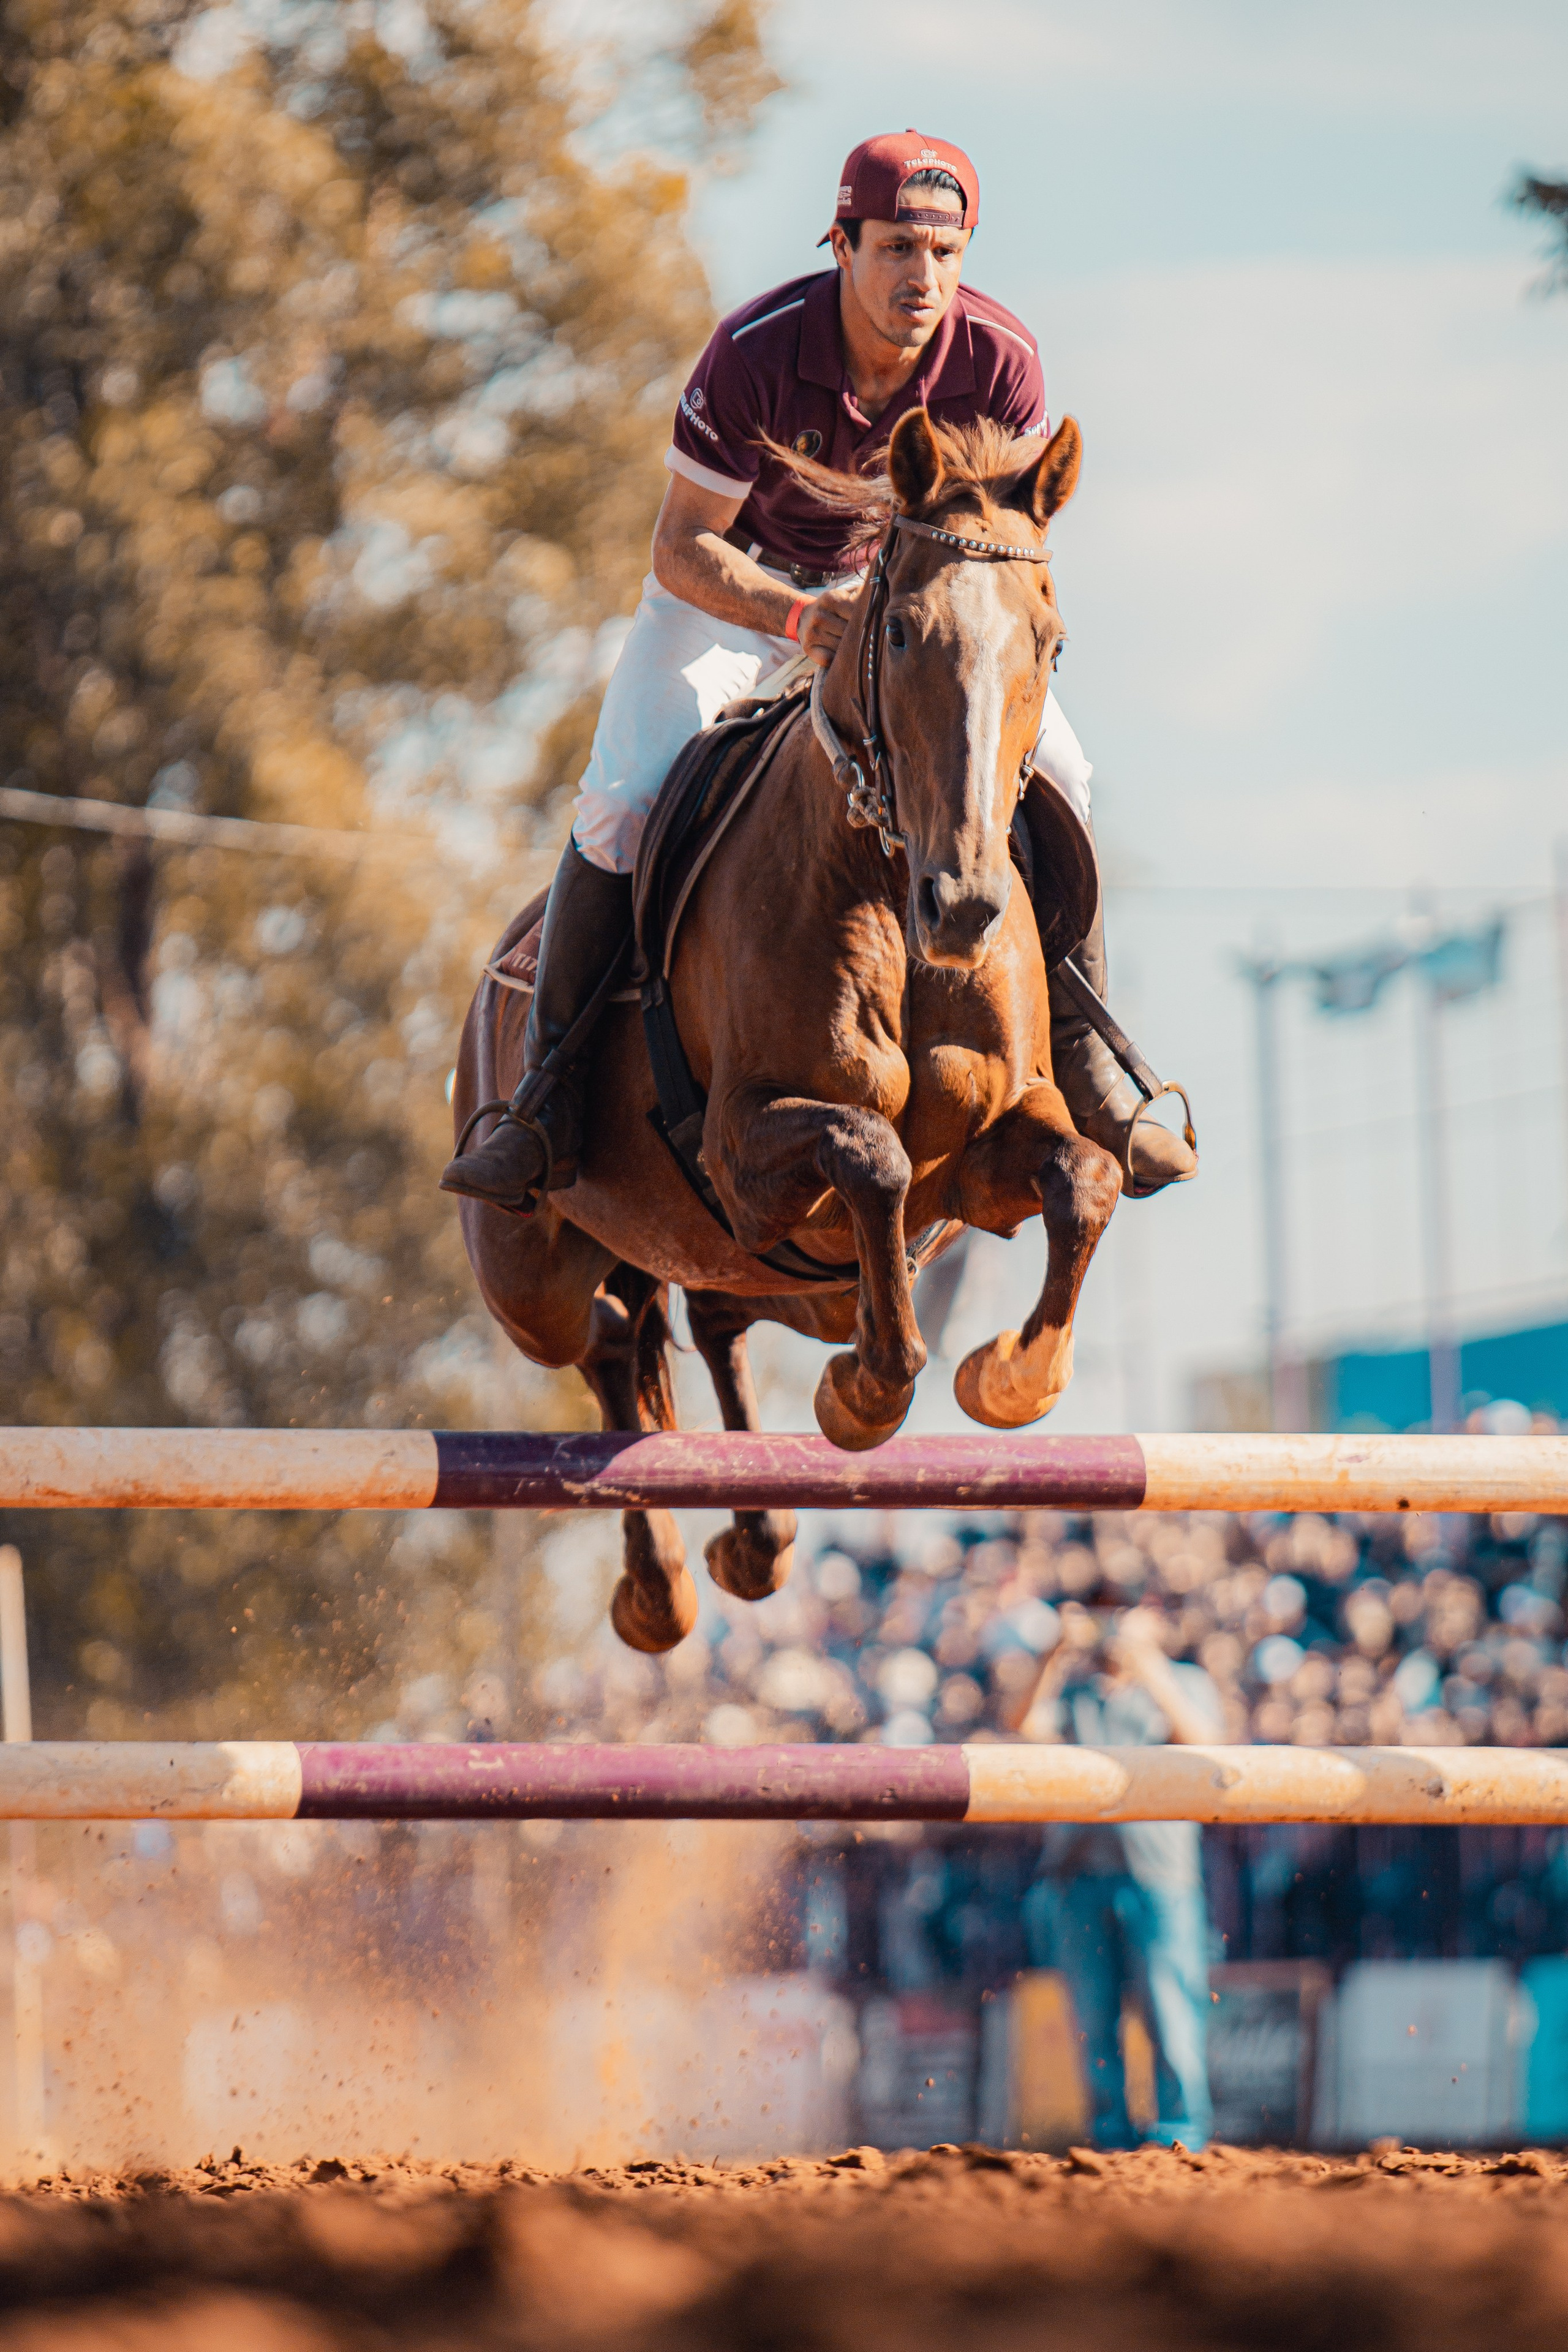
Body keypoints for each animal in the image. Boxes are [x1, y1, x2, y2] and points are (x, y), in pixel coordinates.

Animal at [450, 410, 1122, 1653]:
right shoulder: (745, 1148)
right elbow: (872, 1153)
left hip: (768, 1280)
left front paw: (1013, 1378)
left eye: (1049, 646)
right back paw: (659, 1589)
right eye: (898, 632)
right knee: (609, 1338)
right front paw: (864, 1396)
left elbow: (1083, 1175)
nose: (964, 906)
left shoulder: (988, 1162)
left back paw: (753, 1542)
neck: (887, 892)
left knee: (707, 1320)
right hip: (532, 1278)